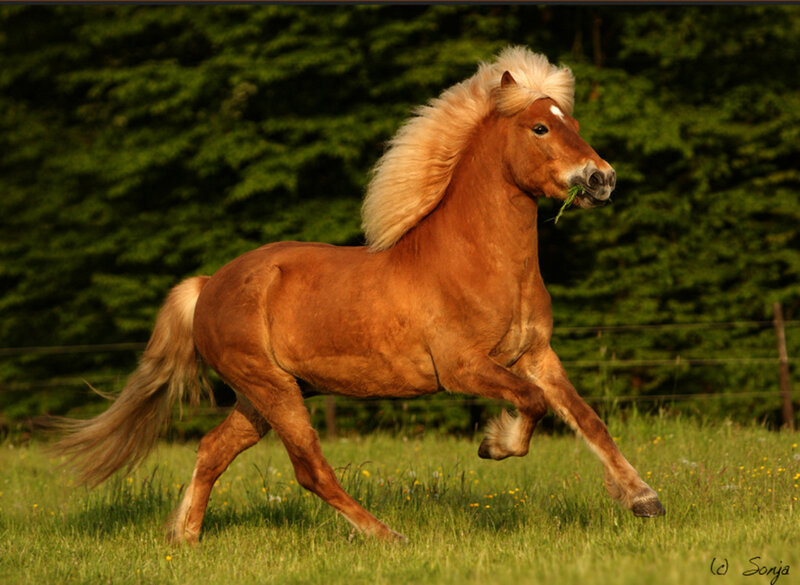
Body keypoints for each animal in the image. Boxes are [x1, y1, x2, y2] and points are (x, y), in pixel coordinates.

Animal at [54, 46, 665, 544]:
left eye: (574, 123)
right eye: (540, 128)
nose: (602, 179)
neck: (479, 263)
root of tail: (209, 286)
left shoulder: (535, 354)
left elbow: (587, 418)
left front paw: (643, 499)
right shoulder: (464, 368)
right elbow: (532, 405)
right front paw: (494, 444)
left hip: (259, 397)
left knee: (211, 451)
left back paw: (184, 539)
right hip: (273, 391)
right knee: (310, 470)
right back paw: (385, 535)